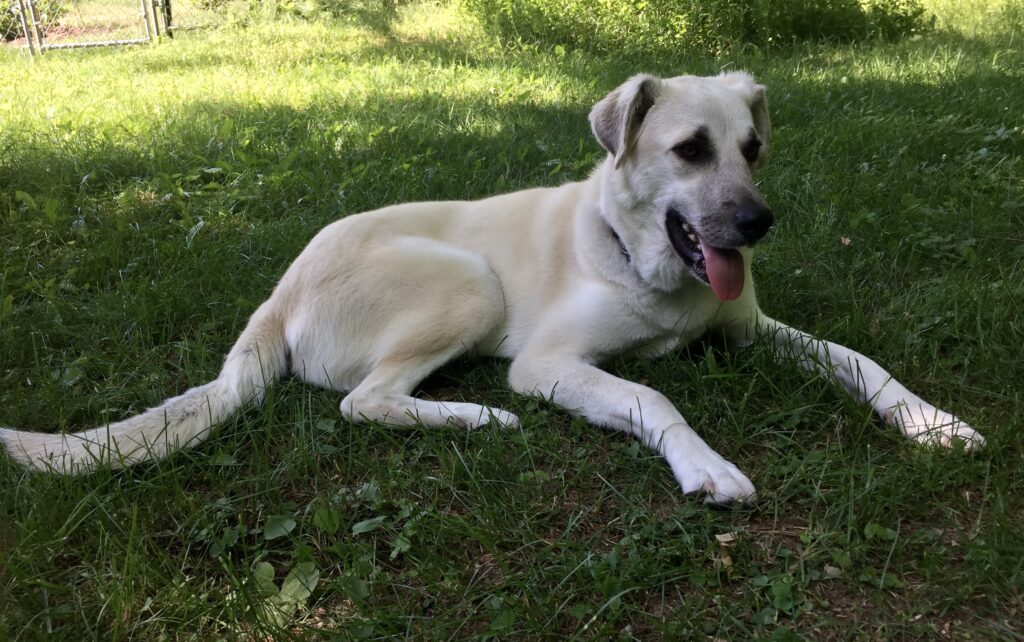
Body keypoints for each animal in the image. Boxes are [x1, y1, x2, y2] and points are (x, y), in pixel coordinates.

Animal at [0, 70, 983, 501]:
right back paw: (475, 418)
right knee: (364, 402)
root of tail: (278, 295)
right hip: (469, 283)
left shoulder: (752, 330)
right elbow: (657, 398)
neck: (647, 265)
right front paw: (705, 465)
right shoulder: (548, 363)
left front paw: (932, 423)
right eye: (691, 151)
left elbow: (858, 360)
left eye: (751, 147)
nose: (758, 223)